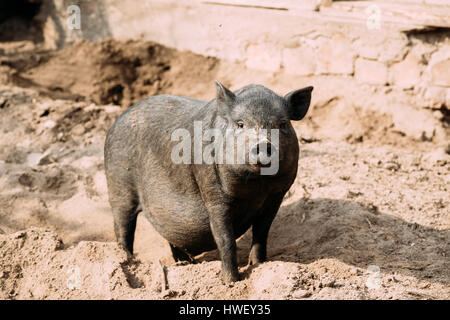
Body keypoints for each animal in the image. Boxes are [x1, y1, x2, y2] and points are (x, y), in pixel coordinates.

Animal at [104, 82, 312, 282]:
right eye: (240, 124)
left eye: (283, 123)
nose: (263, 144)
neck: (257, 186)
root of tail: (119, 119)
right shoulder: (213, 193)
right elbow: (225, 239)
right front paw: (230, 282)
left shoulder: (276, 195)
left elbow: (262, 233)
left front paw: (259, 264)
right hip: (118, 185)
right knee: (123, 228)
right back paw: (129, 261)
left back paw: (185, 264)